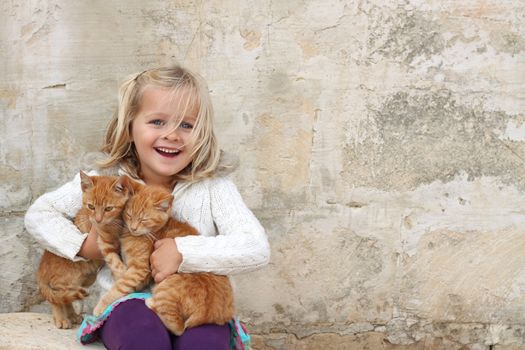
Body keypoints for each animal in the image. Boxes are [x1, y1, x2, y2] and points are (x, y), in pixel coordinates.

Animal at [36, 172, 128, 328]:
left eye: (108, 208)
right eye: (91, 206)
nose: (98, 219)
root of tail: (41, 270)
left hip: (86, 279)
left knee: (67, 296)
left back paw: (73, 316)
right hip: (66, 279)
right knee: (57, 296)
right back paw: (61, 318)